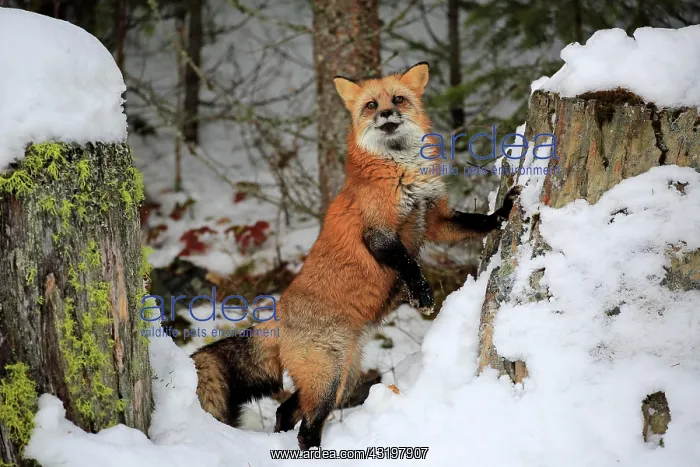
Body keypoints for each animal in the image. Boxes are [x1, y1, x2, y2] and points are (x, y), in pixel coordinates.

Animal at [191, 61, 521, 450]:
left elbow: (476, 223)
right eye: (371, 105)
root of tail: (277, 314)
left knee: (285, 412)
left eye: (397, 99)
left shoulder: (435, 219)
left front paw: (503, 214)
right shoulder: (377, 233)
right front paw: (422, 295)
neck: (401, 171)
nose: (386, 114)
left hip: (343, 379)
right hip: (329, 380)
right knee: (306, 427)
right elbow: (409, 262)